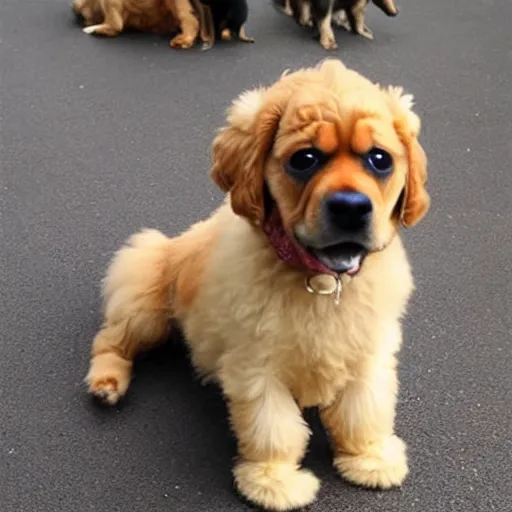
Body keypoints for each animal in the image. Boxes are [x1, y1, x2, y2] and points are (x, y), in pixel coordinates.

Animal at [86, 60, 430, 512]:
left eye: (379, 159)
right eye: (304, 159)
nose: (351, 208)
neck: (321, 283)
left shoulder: (369, 354)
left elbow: (364, 411)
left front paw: (368, 457)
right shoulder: (256, 369)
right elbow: (275, 429)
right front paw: (273, 482)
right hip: (145, 294)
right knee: (111, 340)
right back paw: (106, 383)